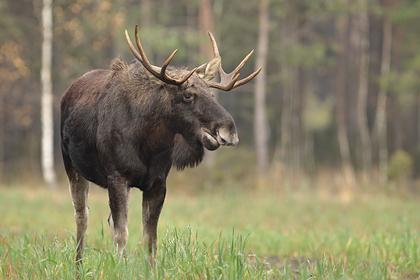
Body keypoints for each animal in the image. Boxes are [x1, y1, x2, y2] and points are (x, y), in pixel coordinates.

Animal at [60, 25, 260, 262]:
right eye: (188, 95)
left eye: (212, 93)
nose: (229, 130)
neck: (147, 144)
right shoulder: (116, 177)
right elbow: (121, 234)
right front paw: (119, 265)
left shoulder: (158, 182)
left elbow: (150, 239)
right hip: (72, 166)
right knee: (82, 216)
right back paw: (78, 263)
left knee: (105, 219)